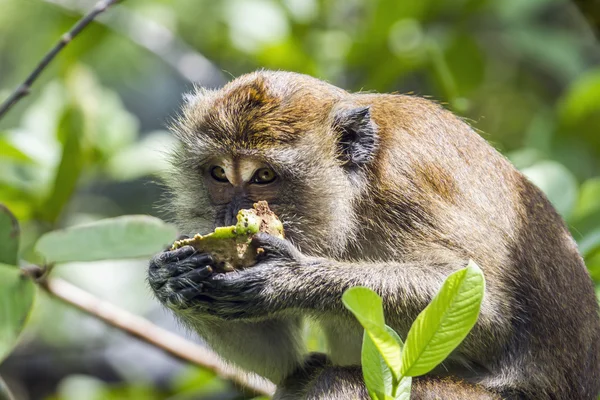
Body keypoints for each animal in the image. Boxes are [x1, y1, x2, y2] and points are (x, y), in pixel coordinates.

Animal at [148, 70, 600, 398]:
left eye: (264, 176)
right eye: (219, 174)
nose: (228, 213)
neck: (357, 193)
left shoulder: (407, 181)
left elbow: (486, 311)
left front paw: (285, 281)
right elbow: (286, 366)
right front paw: (172, 277)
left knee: (333, 380)